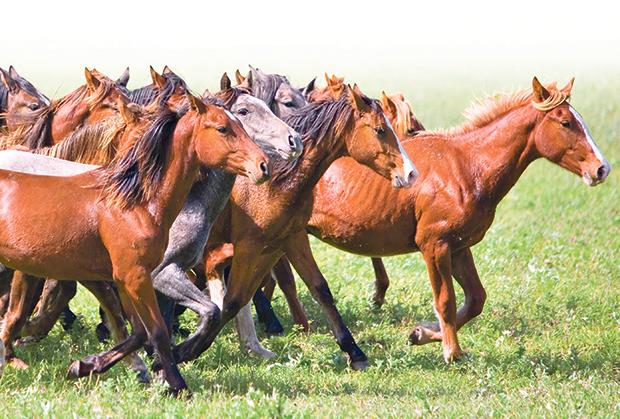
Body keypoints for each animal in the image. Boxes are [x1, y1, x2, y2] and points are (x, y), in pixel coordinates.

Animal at [0, 92, 272, 398]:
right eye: (223, 128)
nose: (263, 166)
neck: (135, 203)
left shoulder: (125, 278)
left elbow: (139, 332)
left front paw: (84, 366)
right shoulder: (141, 276)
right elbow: (159, 331)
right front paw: (177, 384)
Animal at [193, 84, 416, 370]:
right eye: (379, 130)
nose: (411, 173)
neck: (274, 182)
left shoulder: (289, 239)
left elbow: (319, 288)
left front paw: (354, 351)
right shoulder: (250, 246)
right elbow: (234, 299)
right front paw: (187, 349)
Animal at [272, 76, 612, 364]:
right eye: (566, 122)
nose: (602, 168)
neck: (467, 167)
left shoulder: (459, 247)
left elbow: (475, 299)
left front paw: (421, 334)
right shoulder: (434, 246)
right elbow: (446, 301)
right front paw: (452, 351)